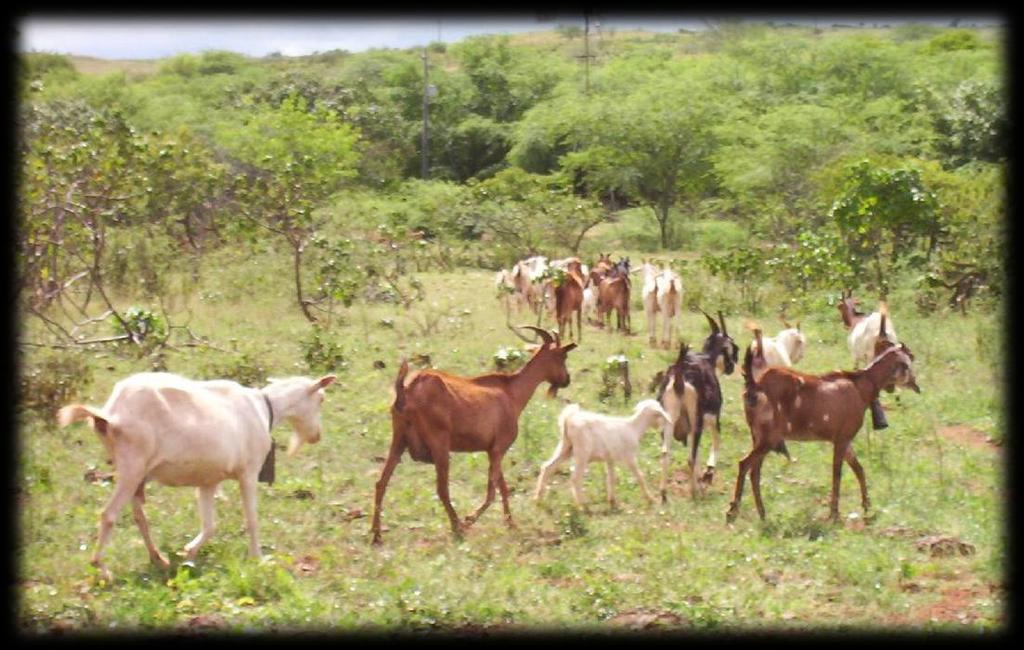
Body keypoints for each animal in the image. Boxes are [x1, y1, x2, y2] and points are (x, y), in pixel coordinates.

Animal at [57, 370, 335, 585]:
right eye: (321, 398)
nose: (317, 436)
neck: (265, 407)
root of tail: (110, 414)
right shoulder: (248, 472)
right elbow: (252, 520)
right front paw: (257, 558)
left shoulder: (208, 481)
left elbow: (210, 525)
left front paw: (189, 553)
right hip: (132, 466)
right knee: (109, 515)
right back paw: (102, 568)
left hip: (136, 471)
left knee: (138, 514)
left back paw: (159, 559)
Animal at [370, 325, 581, 544]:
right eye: (562, 356)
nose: (566, 380)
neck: (510, 392)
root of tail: (407, 389)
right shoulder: (498, 449)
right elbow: (492, 492)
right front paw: (469, 519)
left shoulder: (492, 450)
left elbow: (502, 487)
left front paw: (511, 524)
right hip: (440, 445)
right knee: (442, 489)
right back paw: (457, 527)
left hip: (398, 440)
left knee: (381, 483)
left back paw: (376, 533)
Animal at [536, 399, 671, 511]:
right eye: (659, 413)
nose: (663, 427)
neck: (634, 428)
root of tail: (569, 419)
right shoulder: (629, 457)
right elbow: (640, 476)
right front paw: (651, 499)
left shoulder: (610, 459)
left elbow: (611, 479)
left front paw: (612, 501)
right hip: (582, 452)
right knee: (575, 478)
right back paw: (582, 505)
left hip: (566, 447)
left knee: (547, 467)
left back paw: (538, 499)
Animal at [729, 329, 921, 524]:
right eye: (908, 362)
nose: (916, 385)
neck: (860, 386)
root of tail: (755, 385)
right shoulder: (842, 439)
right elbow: (837, 473)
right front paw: (834, 514)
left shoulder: (845, 439)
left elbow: (859, 470)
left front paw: (867, 507)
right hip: (769, 438)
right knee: (744, 464)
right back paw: (733, 512)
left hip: (758, 436)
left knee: (754, 471)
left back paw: (762, 514)